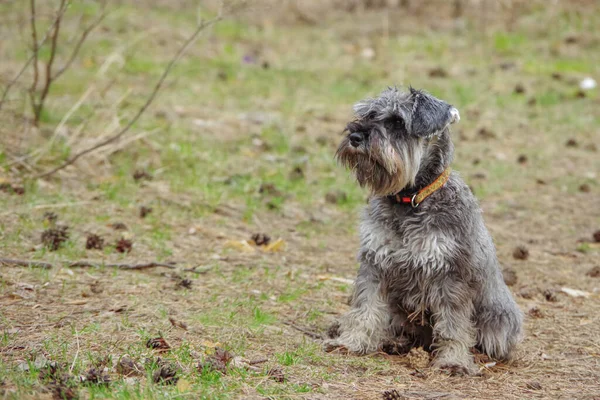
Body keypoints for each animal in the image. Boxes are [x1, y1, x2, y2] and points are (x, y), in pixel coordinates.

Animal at [326, 86, 524, 376]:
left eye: (398, 122)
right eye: (369, 114)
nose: (355, 136)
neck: (410, 198)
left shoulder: (450, 274)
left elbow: (454, 324)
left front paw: (453, 360)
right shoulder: (375, 263)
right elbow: (366, 308)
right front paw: (352, 342)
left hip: (500, 318)